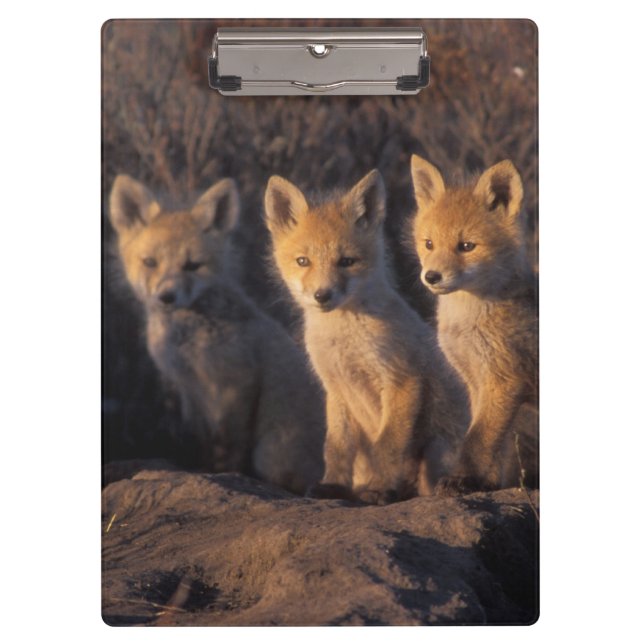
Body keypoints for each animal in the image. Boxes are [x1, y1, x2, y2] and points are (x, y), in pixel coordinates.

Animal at [108, 174, 325, 494]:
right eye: (150, 263)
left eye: (192, 266)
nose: (166, 297)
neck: (187, 347)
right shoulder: (189, 391)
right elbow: (202, 442)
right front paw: (202, 471)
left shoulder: (235, 385)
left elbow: (228, 447)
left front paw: (225, 475)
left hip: (271, 452)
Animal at [264, 170, 468, 504]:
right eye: (303, 261)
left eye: (346, 261)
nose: (323, 295)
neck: (345, 344)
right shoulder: (336, 389)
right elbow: (335, 448)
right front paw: (332, 486)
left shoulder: (402, 380)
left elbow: (387, 445)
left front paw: (379, 488)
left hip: (438, 449)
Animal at [410, 154, 538, 494]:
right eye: (429, 243)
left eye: (467, 246)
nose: (431, 277)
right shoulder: (475, 381)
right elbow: (493, 443)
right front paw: (487, 482)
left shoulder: (504, 380)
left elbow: (477, 441)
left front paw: (462, 478)